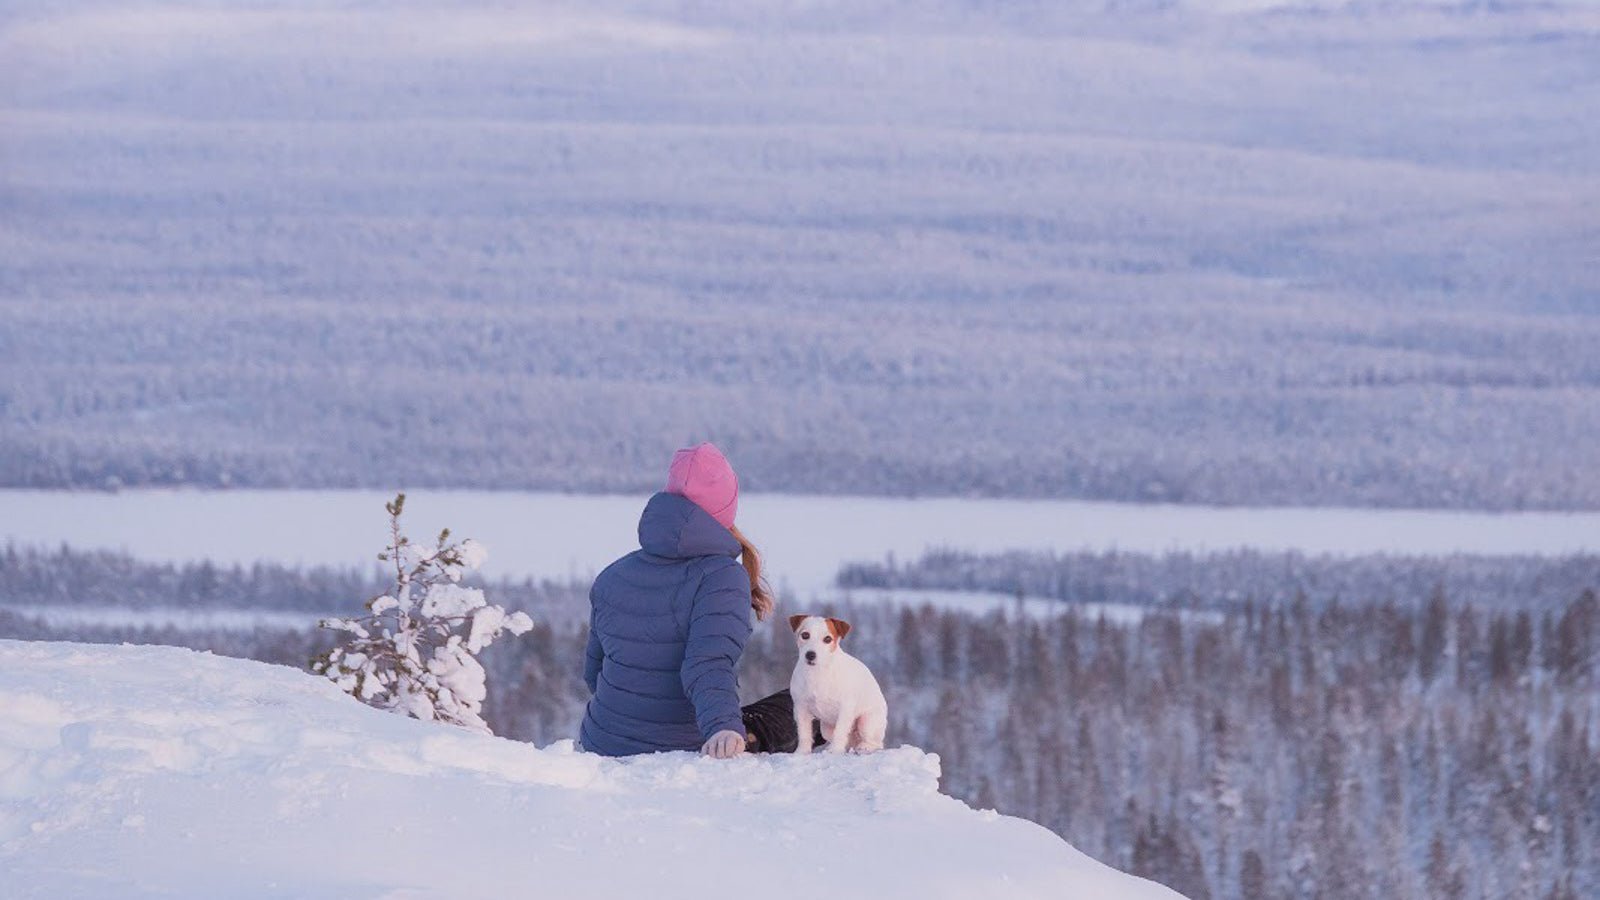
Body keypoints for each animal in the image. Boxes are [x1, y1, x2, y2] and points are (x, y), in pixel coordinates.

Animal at [787, 611, 889, 752]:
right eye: (805, 635)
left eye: (828, 639)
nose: (810, 655)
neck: (818, 672)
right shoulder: (801, 708)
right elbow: (804, 734)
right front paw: (802, 752)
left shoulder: (845, 708)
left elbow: (840, 731)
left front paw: (835, 750)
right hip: (825, 728)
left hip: (866, 722)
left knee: (876, 743)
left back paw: (864, 747)